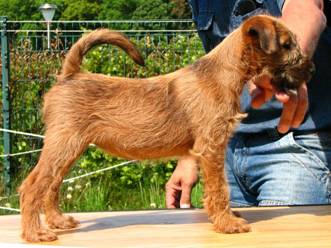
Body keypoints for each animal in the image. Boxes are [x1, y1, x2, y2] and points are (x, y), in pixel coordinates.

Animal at [19, 15, 316, 242]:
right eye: (287, 44)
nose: (311, 70)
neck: (222, 72)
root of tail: (70, 75)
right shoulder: (211, 147)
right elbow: (220, 190)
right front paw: (227, 223)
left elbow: (216, 190)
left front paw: (226, 218)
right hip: (64, 144)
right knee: (33, 186)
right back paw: (35, 233)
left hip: (68, 148)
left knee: (52, 185)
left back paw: (57, 221)